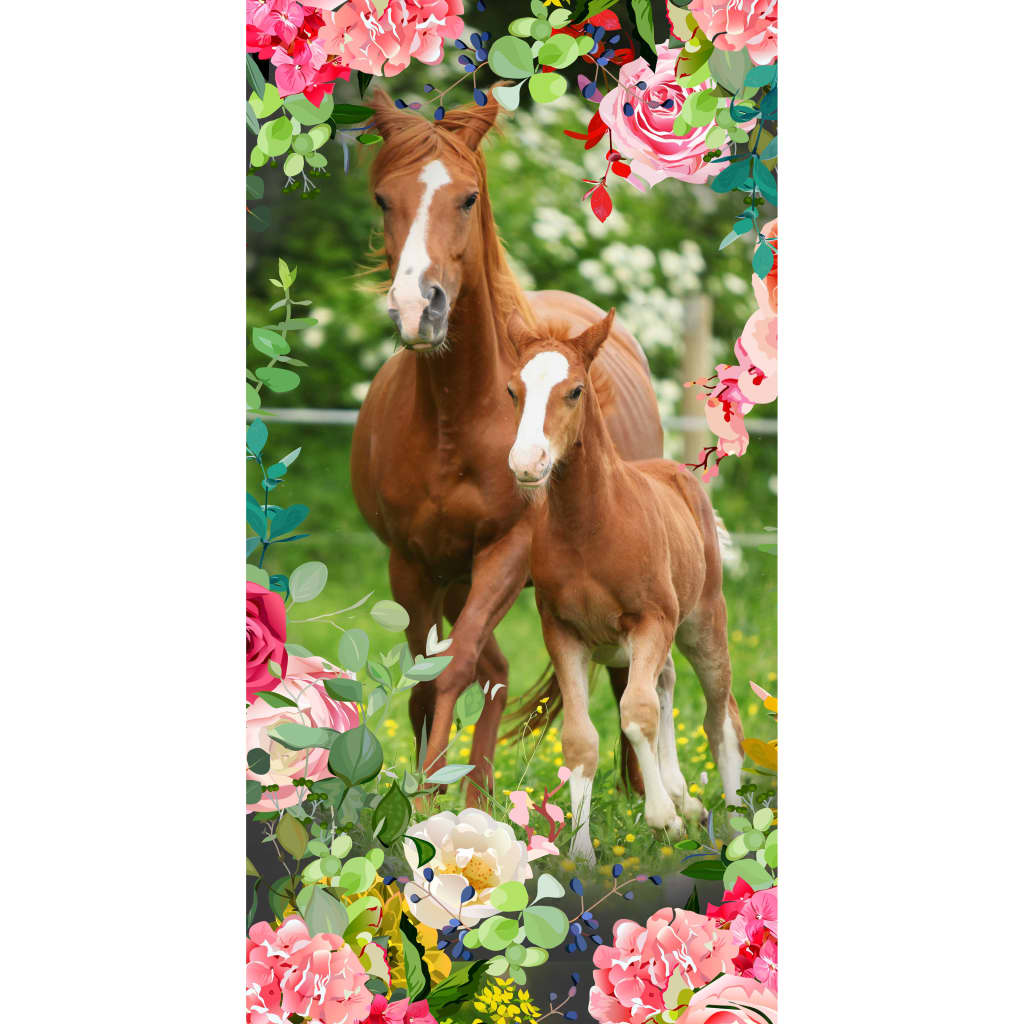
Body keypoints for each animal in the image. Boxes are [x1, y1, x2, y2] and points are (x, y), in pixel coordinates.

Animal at [349, 90, 664, 803]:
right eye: (383, 198)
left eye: (468, 197)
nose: (419, 308)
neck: (455, 418)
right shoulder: (411, 562)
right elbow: (427, 679)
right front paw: (429, 799)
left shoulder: (507, 550)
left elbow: (453, 667)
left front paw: (427, 804)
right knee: (492, 670)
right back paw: (480, 796)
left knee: (614, 675)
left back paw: (636, 798)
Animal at [503, 309, 744, 865]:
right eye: (512, 391)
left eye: (573, 390)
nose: (527, 463)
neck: (589, 527)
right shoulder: (563, 633)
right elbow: (581, 739)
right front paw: (582, 853)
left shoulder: (651, 621)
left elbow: (635, 713)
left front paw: (664, 819)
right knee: (666, 683)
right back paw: (684, 795)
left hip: (703, 621)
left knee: (719, 717)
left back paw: (736, 823)